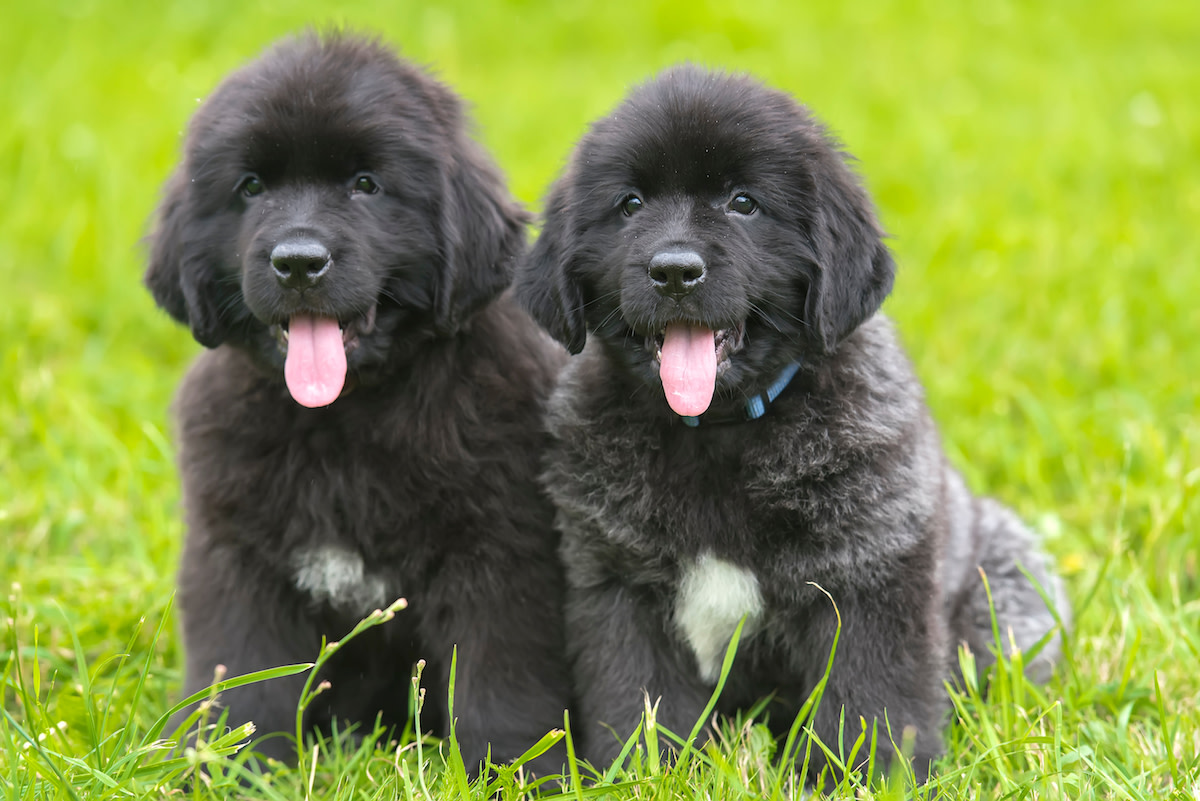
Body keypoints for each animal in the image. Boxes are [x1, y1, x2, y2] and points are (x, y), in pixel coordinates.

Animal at [142, 34, 568, 772]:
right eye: (251, 188)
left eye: (366, 185)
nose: (297, 261)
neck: (345, 418)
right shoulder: (237, 553)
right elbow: (242, 671)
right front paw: (228, 767)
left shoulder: (501, 551)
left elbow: (501, 680)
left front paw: (515, 771)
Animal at [516, 67, 1070, 781]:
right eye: (630, 204)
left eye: (744, 203)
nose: (674, 270)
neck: (717, 434)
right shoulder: (617, 584)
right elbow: (641, 705)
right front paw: (640, 775)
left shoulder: (867, 577)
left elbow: (868, 704)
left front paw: (868, 778)